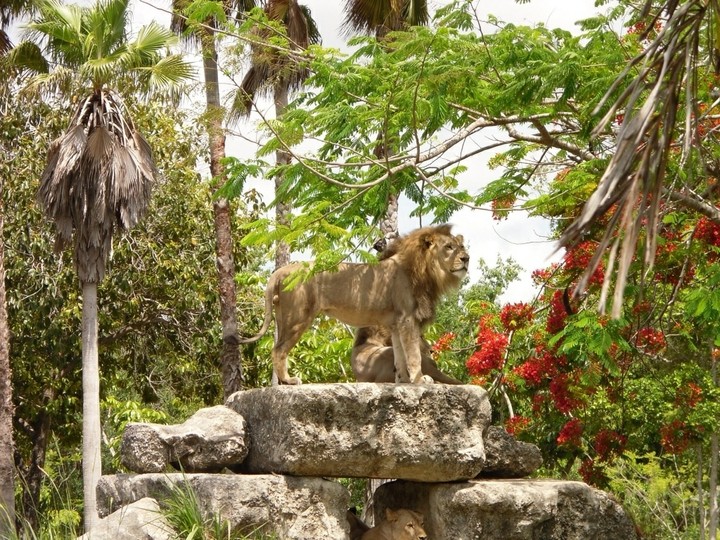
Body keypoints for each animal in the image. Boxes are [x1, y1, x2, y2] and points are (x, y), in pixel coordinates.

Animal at [240, 224, 469, 385]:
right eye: (449, 247)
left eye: (462, 247)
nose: (466, 258)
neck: (426, 271)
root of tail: (282, 270)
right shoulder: (407, 318)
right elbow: (413, 355)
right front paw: (420, 380)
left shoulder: (396, 324)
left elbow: (400, 357)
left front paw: (404, 381)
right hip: (297, 317)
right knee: (278, 350)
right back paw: (288, 381)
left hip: (284, 316)